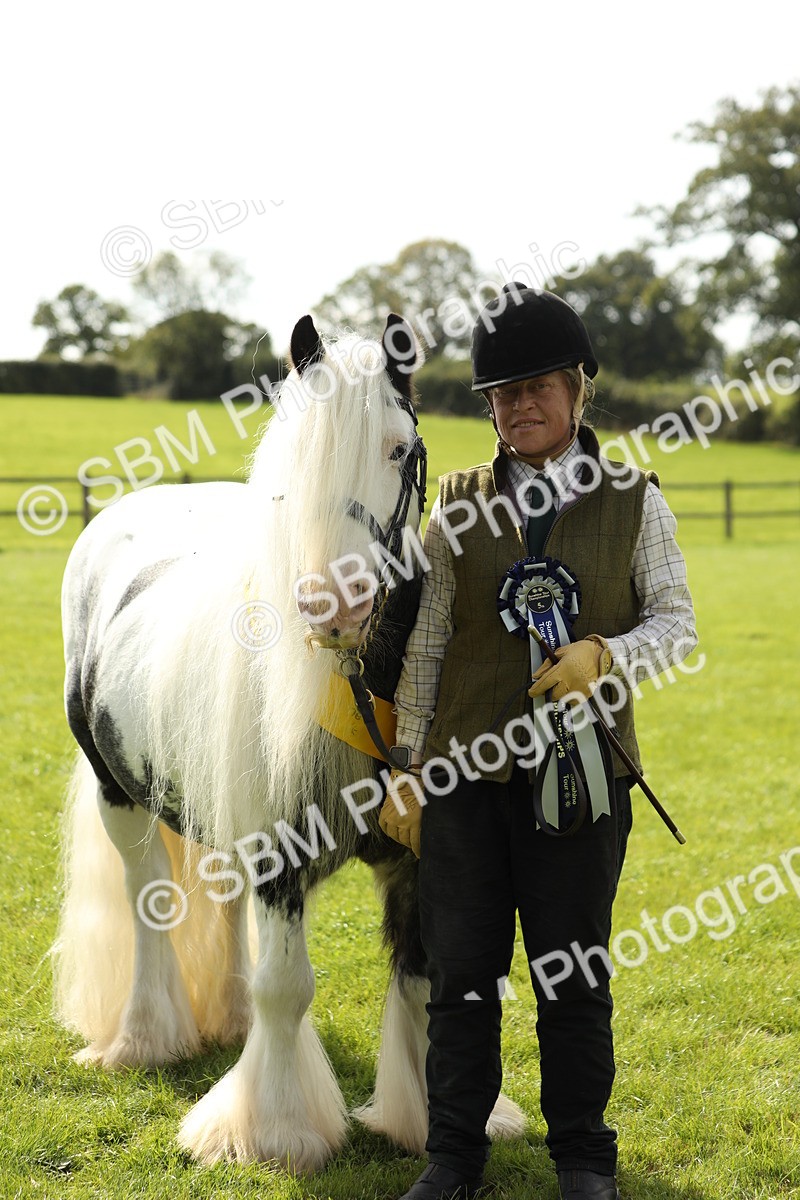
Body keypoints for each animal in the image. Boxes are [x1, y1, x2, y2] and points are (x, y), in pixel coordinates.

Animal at [53, 312, 525, 1171]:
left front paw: (421, 1118)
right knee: (149, 907)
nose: (333, 603)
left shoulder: (418, 852)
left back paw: (228, 1020)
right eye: (294, 466)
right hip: (118, 797)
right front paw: (272, 1131)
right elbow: (288, 986)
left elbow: (419, 979)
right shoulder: (279, 851)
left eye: (400, 448)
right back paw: (145, 1038)